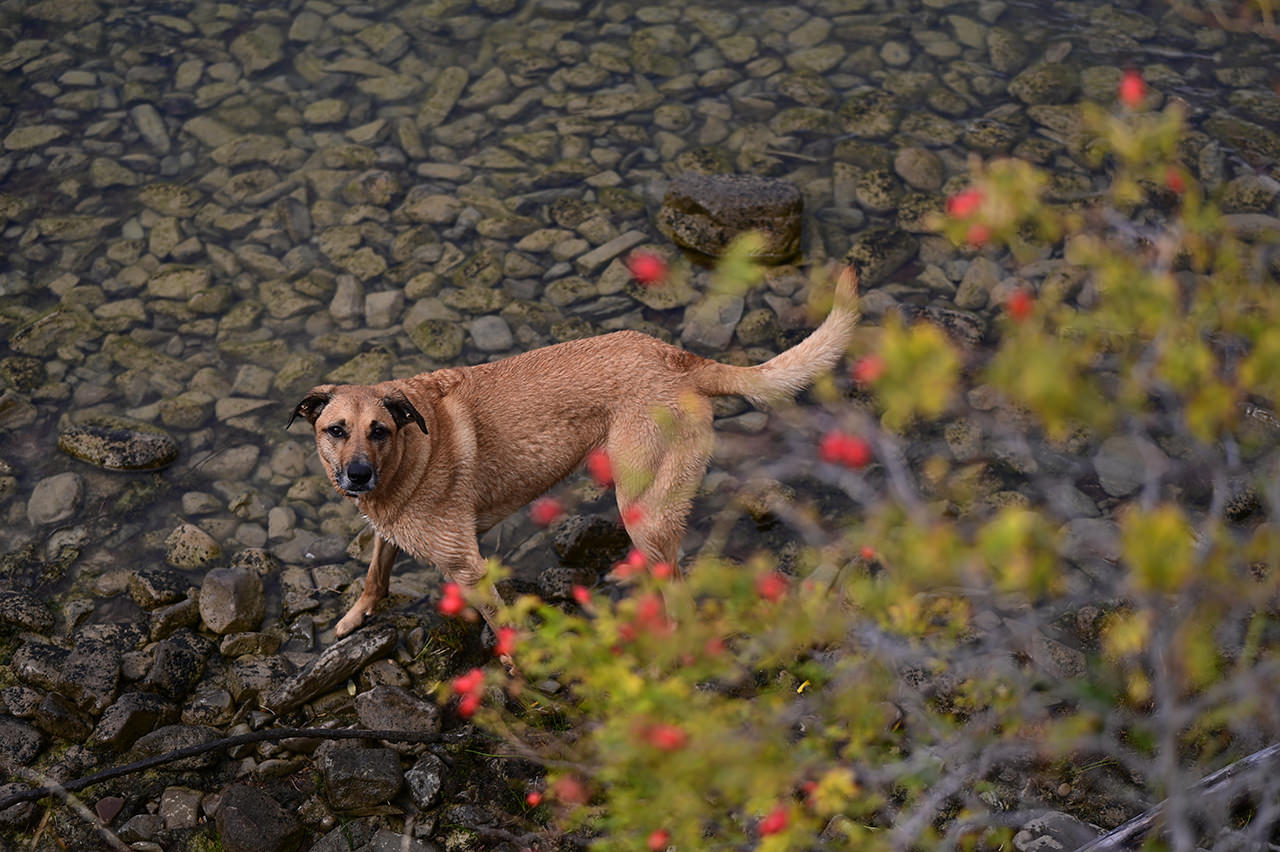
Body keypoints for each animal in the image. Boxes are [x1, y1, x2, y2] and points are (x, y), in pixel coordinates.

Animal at [290, 266, 860, 637]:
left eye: (379, 430)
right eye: (336, 430)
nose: (357, 475)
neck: (410, 455)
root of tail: (679, 359)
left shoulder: (467, 566)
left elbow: (503, 628)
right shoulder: (391, 530)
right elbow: (375, 573)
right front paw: (356, 615)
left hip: (643, 504)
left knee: (676, 590)